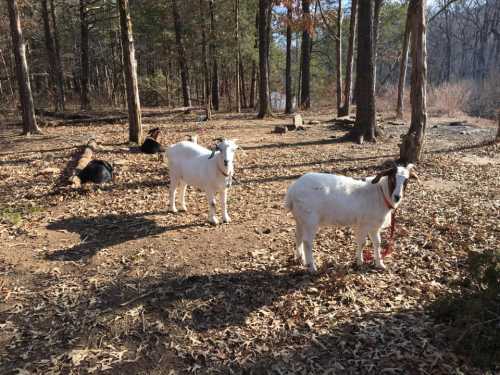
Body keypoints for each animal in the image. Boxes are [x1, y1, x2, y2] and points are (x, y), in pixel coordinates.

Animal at [286, 164, 418, 274]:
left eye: (406, 181)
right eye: (392, 179)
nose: (397, 197)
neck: (381, 194)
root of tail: (292, 191)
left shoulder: (373, 226)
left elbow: (377, 243)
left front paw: (380, 264)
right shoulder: (364, 224)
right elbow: (363, 243)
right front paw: (360, 262)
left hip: (300, 218)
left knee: (298, 236)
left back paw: (300, 258)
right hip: (310, 220)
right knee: (307, 242)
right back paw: (312, 267)